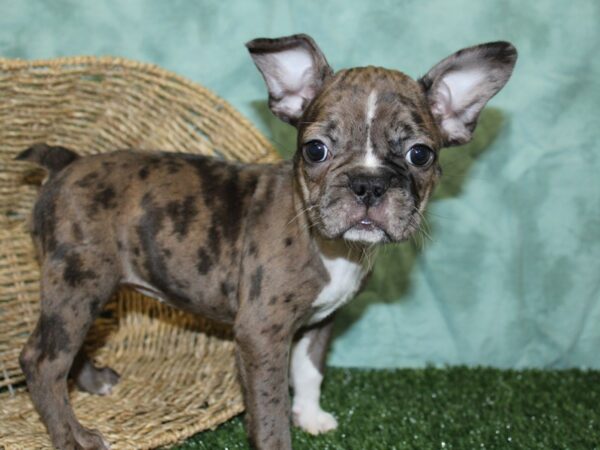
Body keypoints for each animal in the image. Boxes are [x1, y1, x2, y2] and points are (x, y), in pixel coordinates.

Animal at [16, 33, 516, 448]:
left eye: (420, 154)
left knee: (70, 346)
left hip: (86, 289)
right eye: (316, 149)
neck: (329, 245)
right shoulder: (261, 333)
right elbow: (269, 406)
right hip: (78, 282)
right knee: (43, 361)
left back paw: (93, 382)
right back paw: (74, 437)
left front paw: (310, 416)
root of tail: (65, 162)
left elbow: (309, 372)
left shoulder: (319, 322)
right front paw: (282, 431)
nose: (368, 184)